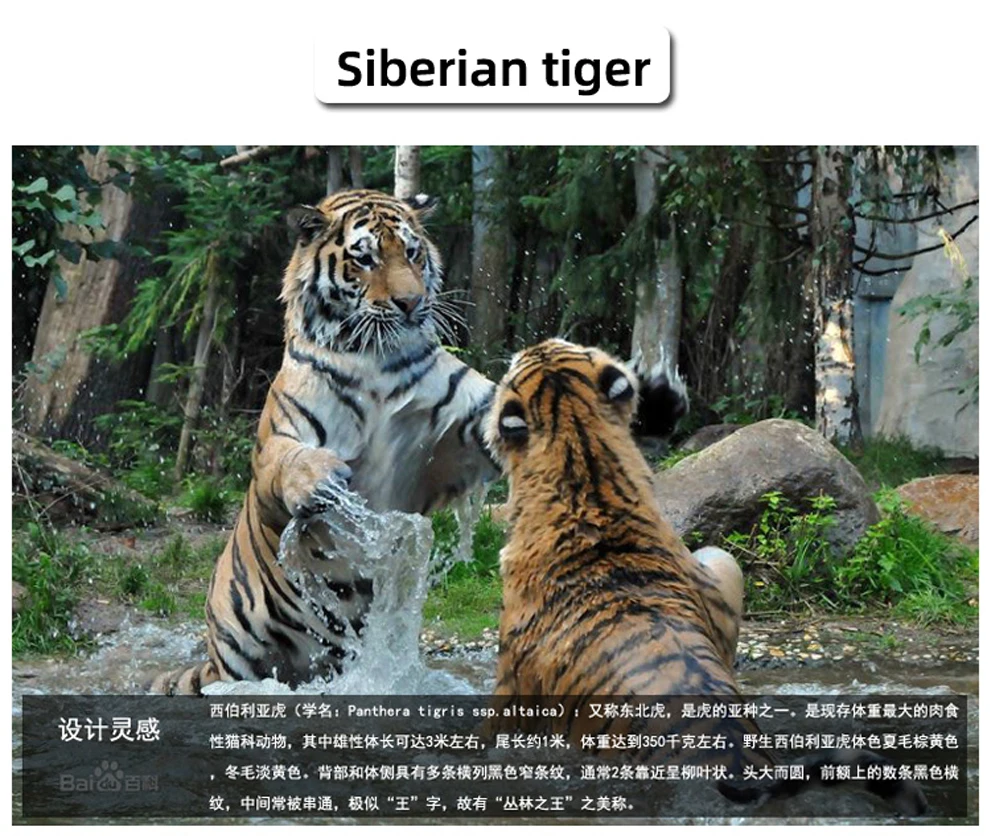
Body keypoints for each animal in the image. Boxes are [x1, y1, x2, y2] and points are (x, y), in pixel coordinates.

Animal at [483, 338, 928, 816]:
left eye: (521, 364)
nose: (539, 343)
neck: (589, 481)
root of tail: (738, 765)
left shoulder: (511, 682)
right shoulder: (719, 577)